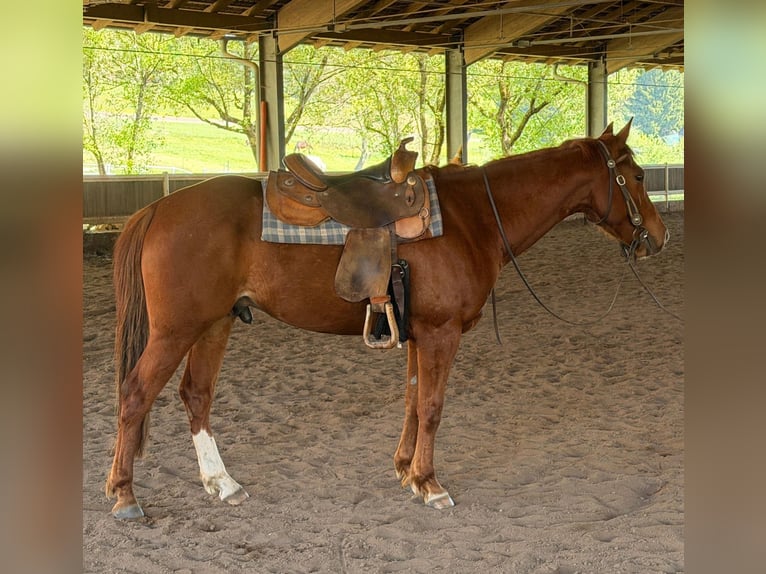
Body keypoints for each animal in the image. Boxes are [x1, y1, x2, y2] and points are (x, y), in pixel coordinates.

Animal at [105, 121, 669, 519]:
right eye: (639, 176)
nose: (659, 237)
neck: (474, 217)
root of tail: (157, 209)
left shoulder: (420, 336)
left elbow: (413, 403)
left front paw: (406, 472)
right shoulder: (441, 335)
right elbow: (434, 408)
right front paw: (431, 485)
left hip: (214, 325)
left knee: (195, 396)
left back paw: (222, 484)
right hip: (177, 330)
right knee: (135, 394)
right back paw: (125, 496)